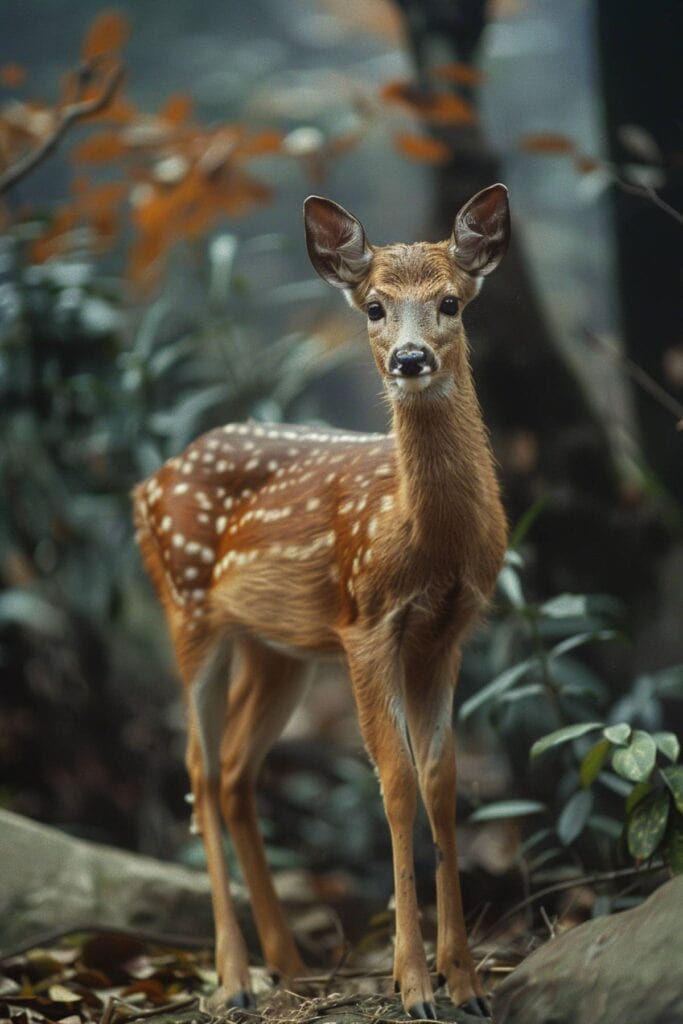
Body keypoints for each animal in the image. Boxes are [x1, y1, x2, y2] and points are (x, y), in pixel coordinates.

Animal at [132, 182, 507, 1015]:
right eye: (372, 306)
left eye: (451, 301)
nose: (409, 358)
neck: (422, 536)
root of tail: (146, 485)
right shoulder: (365, 622)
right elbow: (394, 781)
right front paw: (412, 985)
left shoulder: (447, 632)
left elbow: (441, 781)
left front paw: (465, 981)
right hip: (188, 609)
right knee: (197, 769)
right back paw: (236, 978)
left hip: (278, 649)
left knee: (235, 770)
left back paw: (291, 965)